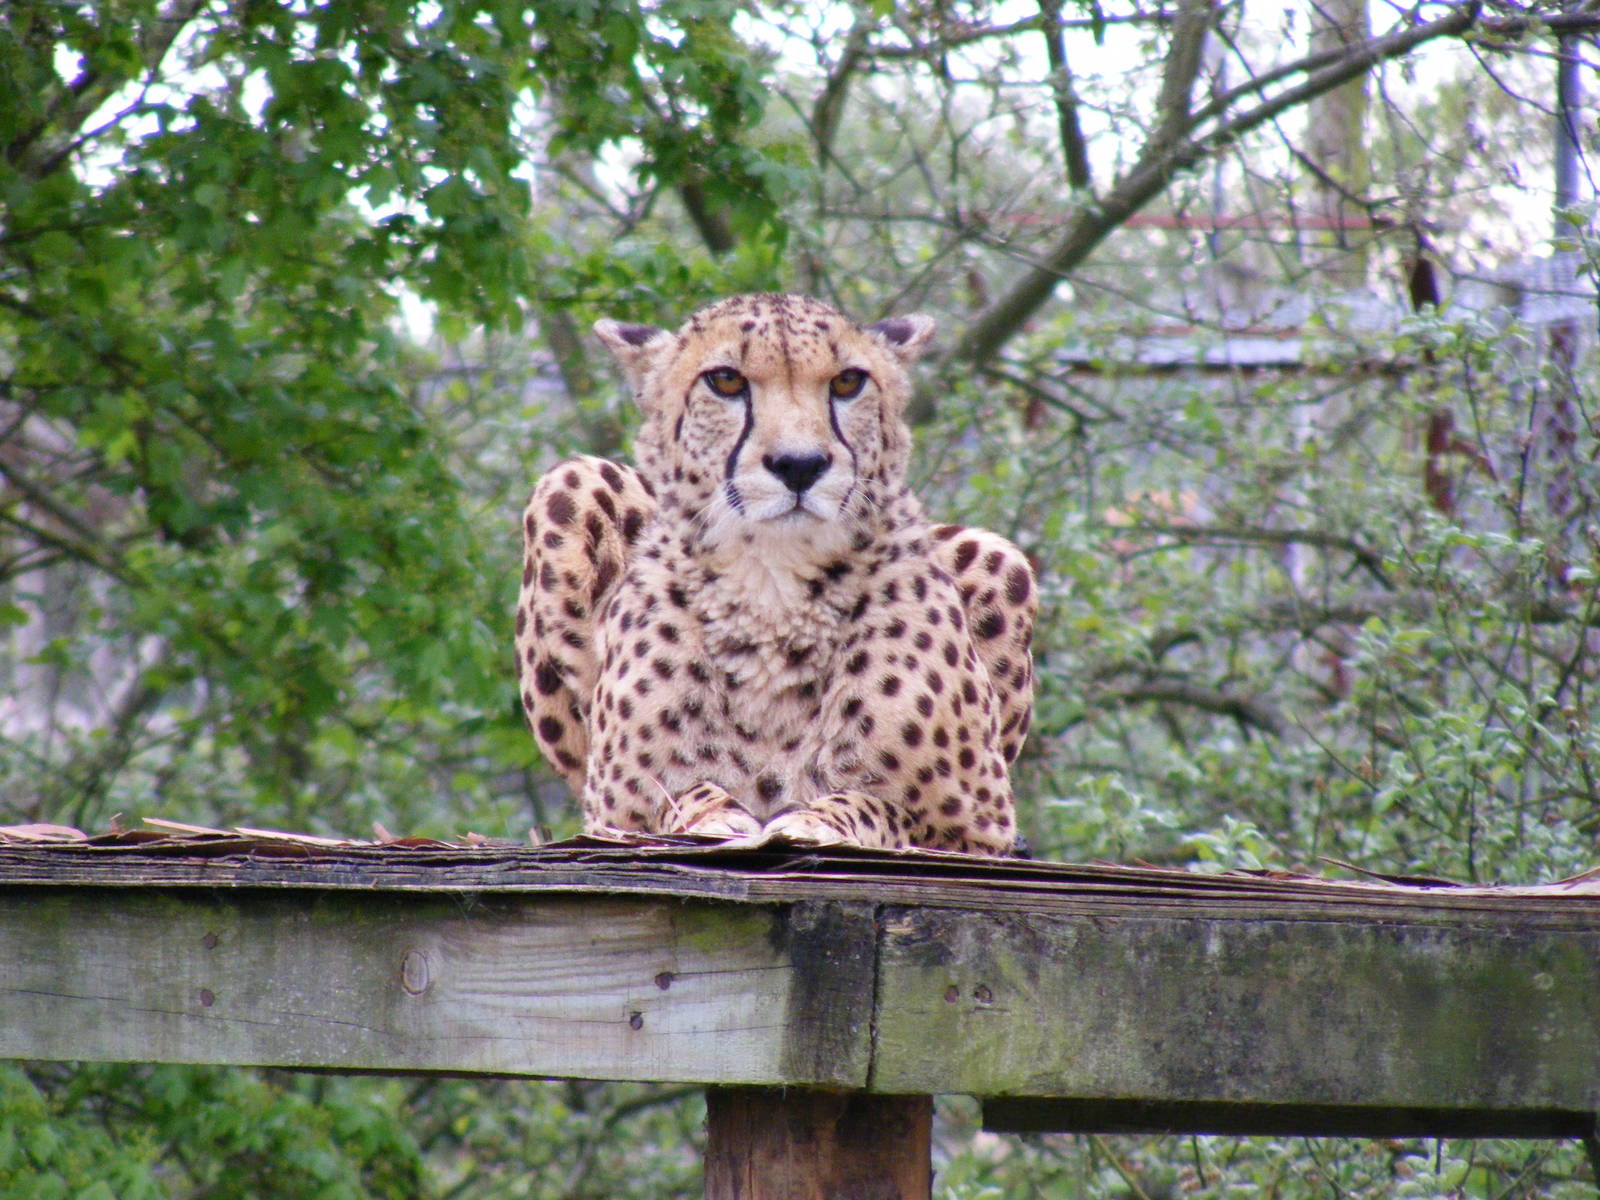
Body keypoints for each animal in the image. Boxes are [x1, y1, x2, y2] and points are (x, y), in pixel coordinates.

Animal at [513, 293, 1037, 855]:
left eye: (848, 382)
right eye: (725, 380)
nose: (799, 465)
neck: (774, 586)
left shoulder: (977, 827)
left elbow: (875, 804)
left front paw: (816, 820)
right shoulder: (614, 813)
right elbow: (684, 795)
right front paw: (717, 815)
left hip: (998, 556)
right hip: (572, 480)